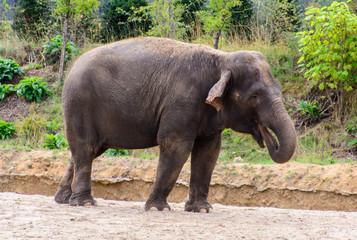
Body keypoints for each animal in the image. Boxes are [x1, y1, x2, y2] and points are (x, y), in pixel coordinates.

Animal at [55, 37, 294, 212]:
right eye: (255, 96)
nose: (265, 135)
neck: (222, 59)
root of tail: (72, 66)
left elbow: (208, 152)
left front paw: (202, 210)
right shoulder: (182, 103)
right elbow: (176, 147)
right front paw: (157, 209)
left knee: (87, 151)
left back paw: (64, 199)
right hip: (80, 104)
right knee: (85, 148)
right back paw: (84, 203)